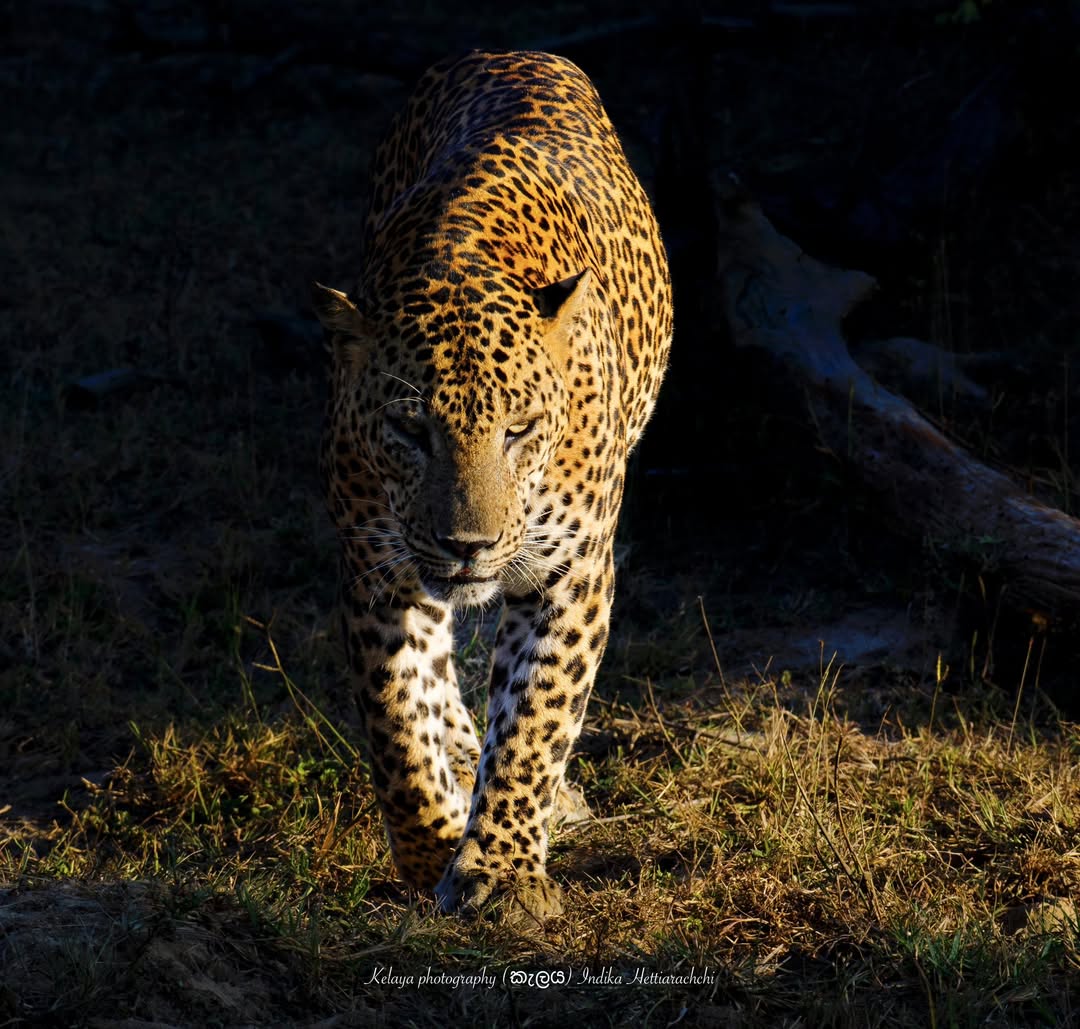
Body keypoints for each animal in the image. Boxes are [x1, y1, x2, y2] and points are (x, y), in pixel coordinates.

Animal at [314, 49, 672, 925]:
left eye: (519, 428)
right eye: (411, 430)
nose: (467, 544)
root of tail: (513, 53)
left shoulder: (572, 574)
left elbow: (535, 719)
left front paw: (502, 870)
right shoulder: (375, 567)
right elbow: (396, 725)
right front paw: (434, 845)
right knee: (439, 677)